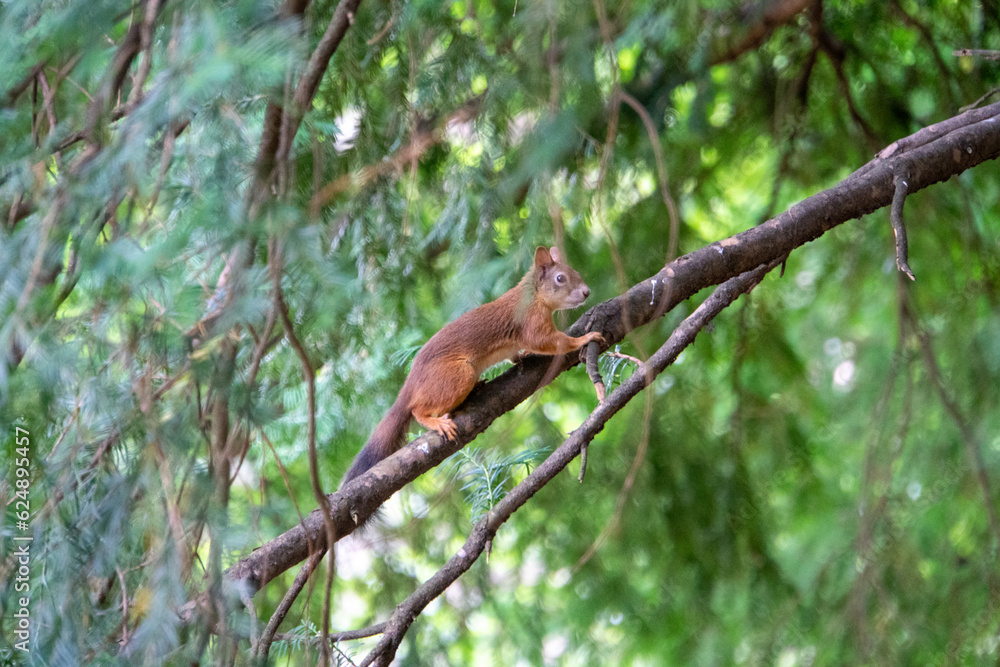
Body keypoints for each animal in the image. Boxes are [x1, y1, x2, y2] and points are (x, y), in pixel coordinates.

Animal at [344, 245, 604, 486]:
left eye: (575, 271)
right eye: (560, 278)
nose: (587, 292)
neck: (533, 296)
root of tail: (412, 381)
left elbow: (517, 353)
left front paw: (522, 356)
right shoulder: (531, 321)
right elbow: (550, 341)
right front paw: (585, 338)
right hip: (457, 375)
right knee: (417, 409)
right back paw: (436, 420)